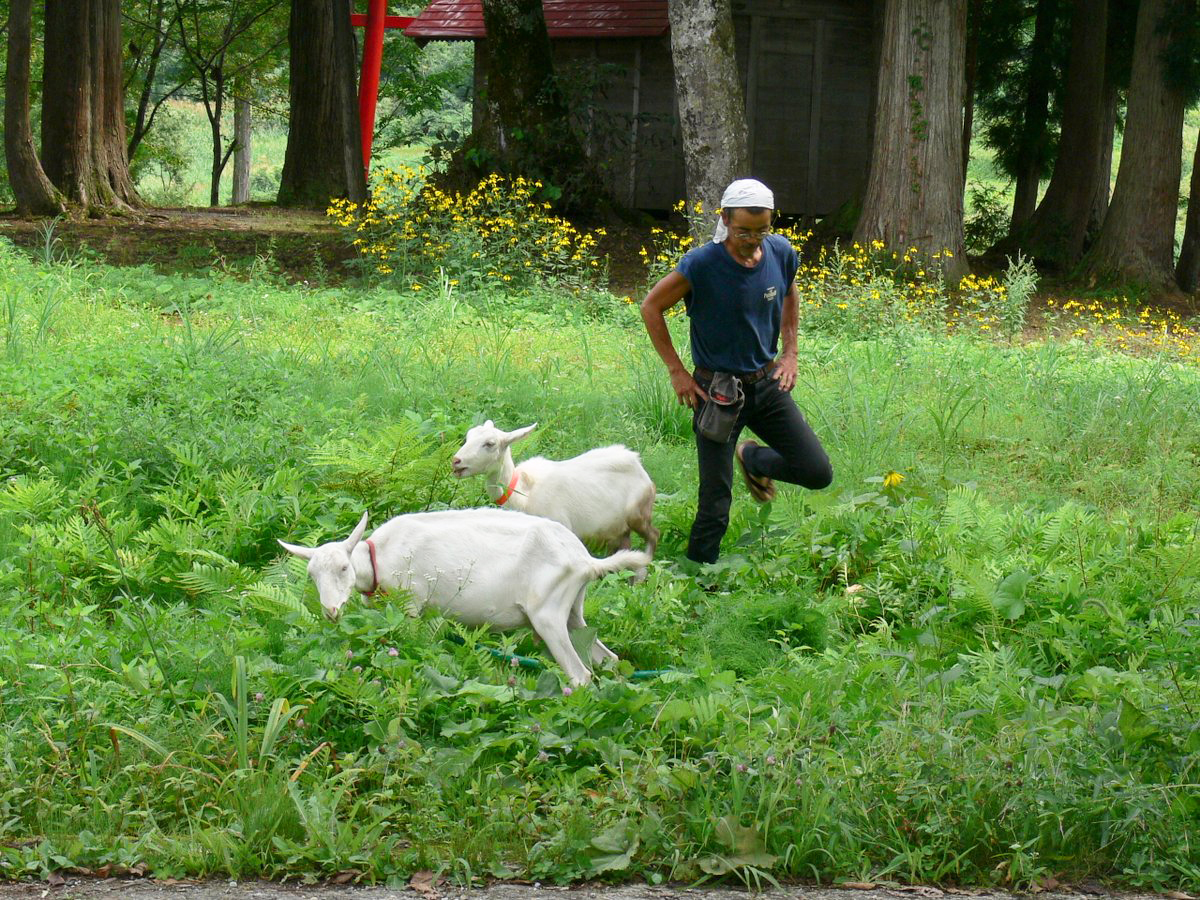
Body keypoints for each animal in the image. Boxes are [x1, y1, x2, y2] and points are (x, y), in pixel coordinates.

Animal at [277, 511, 652, 686]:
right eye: (312, 575)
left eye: (343, 567)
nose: (331, 610)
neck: (377, 557)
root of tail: (585, 561)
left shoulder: (411, 605)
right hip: (573, 611)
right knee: (609, 659)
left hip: (548, 613)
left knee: (580, 673)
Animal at [451, 422, 662, 564]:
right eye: (468, 437)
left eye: (489, 443)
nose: (456, 461)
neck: (524, 493)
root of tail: (638, 465)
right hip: (617, 527)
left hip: (638, 513)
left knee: (654, 535)